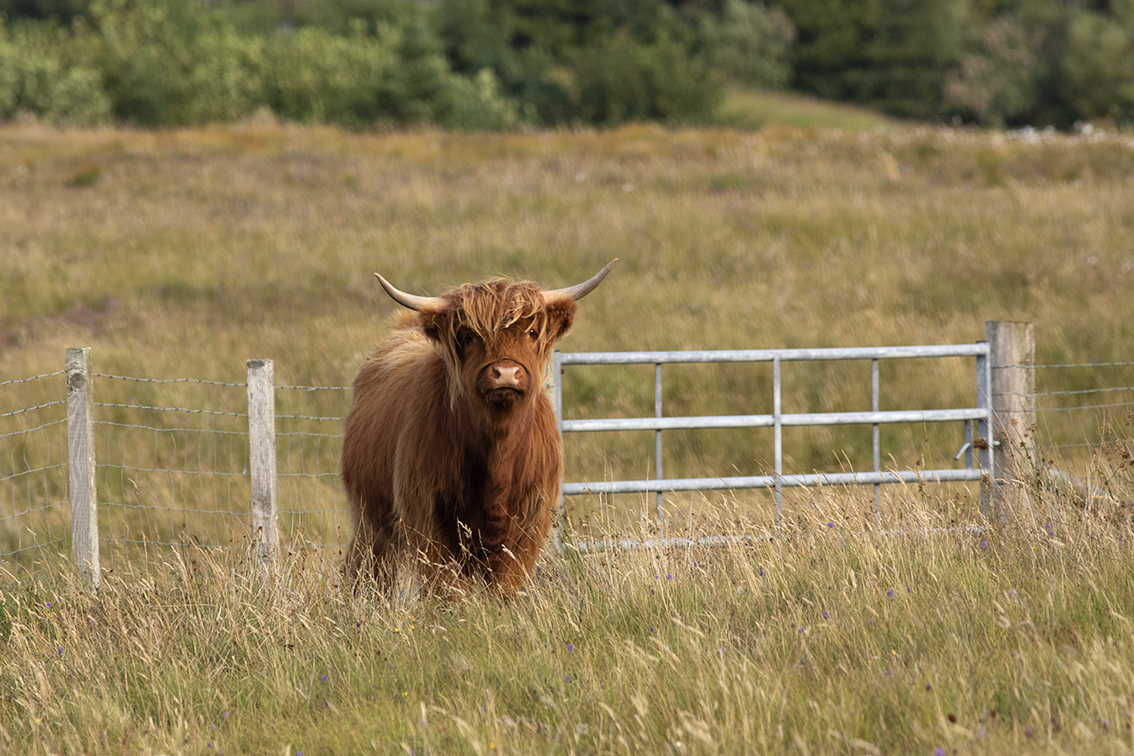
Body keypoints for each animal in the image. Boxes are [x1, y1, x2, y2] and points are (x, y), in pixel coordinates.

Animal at [340, 260, 616, 598]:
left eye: (531, 331)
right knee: (370, 569)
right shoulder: (426, 515)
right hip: (371, 519)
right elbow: (448, 587)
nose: (506, 372)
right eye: (469, 336)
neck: (497, 455)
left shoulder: (529, 520)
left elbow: (503, 585)